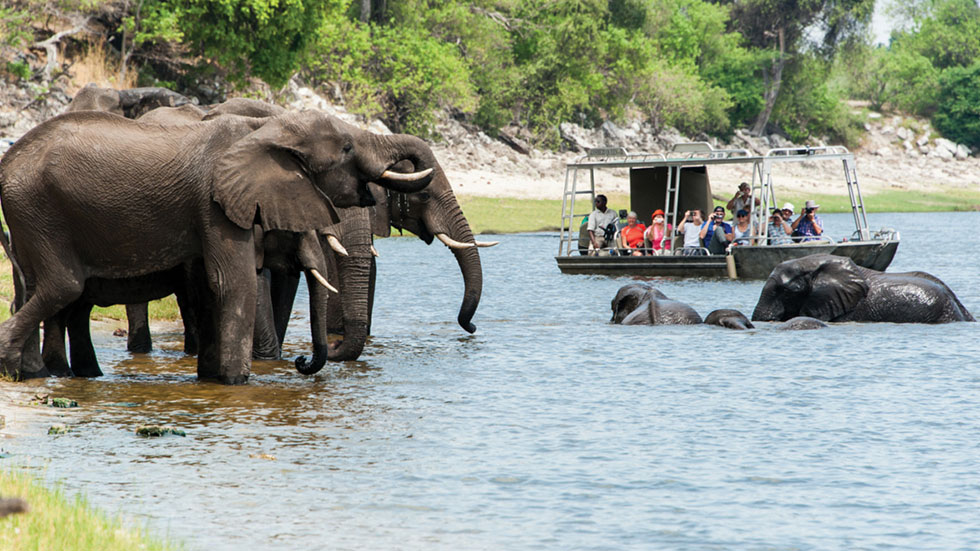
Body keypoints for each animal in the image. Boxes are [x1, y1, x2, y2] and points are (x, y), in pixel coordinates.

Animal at [0, 109, 434, 383]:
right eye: (346, 148)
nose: (300, 362)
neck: (264, 129)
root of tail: (9, 160)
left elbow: (211, 290)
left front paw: (211, 377)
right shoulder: (214, 203)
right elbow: (233, 282)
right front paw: (236, 382)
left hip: (28, 215)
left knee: (41, 291)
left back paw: (43, 373)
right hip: (37, 207)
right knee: (63, 287)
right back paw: (22, 367)